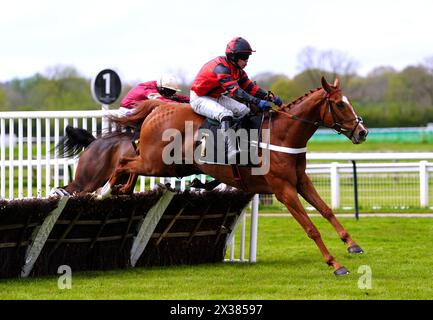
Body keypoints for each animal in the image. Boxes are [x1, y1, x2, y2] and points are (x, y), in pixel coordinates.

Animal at [97, 77, 364, 276]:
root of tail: (159, 108)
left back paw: (123, 190)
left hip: (172, 167)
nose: (362, 132)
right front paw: (335, 264)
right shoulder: (283, 190)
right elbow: (311, 228)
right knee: (123, 163)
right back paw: (104, 193)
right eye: (340, 104)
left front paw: (352, 244)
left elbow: (327, 211)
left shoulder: (301, 181)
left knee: (130, 164)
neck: (282, 135)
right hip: (157, 164)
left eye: (349, 102)